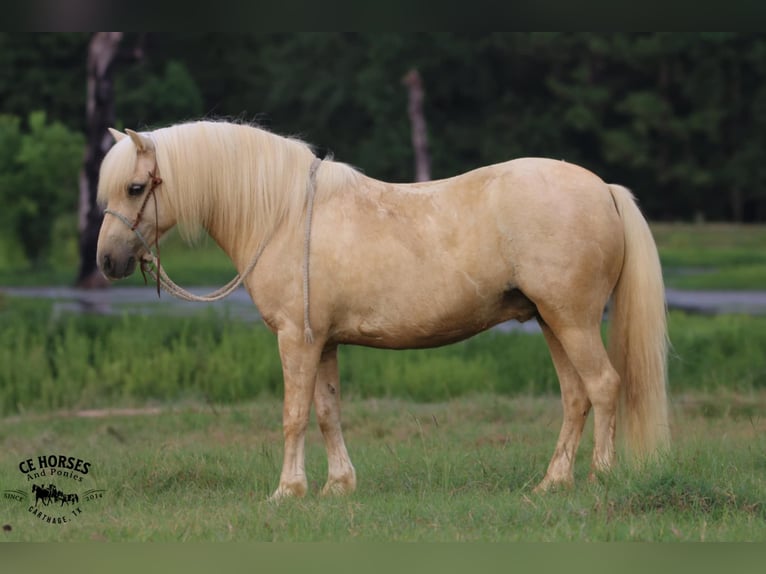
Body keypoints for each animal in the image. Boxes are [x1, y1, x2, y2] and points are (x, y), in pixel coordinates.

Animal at [96, 120, 669, 500]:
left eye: (135, 187)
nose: (106, 260)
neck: (283, 215)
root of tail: (603, 189)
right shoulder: (323, 342)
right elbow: (326, 413)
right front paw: (338, 486)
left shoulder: (296, 340)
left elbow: (293, 415)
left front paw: (287, 491)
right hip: (553, 322)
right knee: (576, 397)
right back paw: (553, 482)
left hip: (573, 321)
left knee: (604, 387)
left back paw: (599, 477)